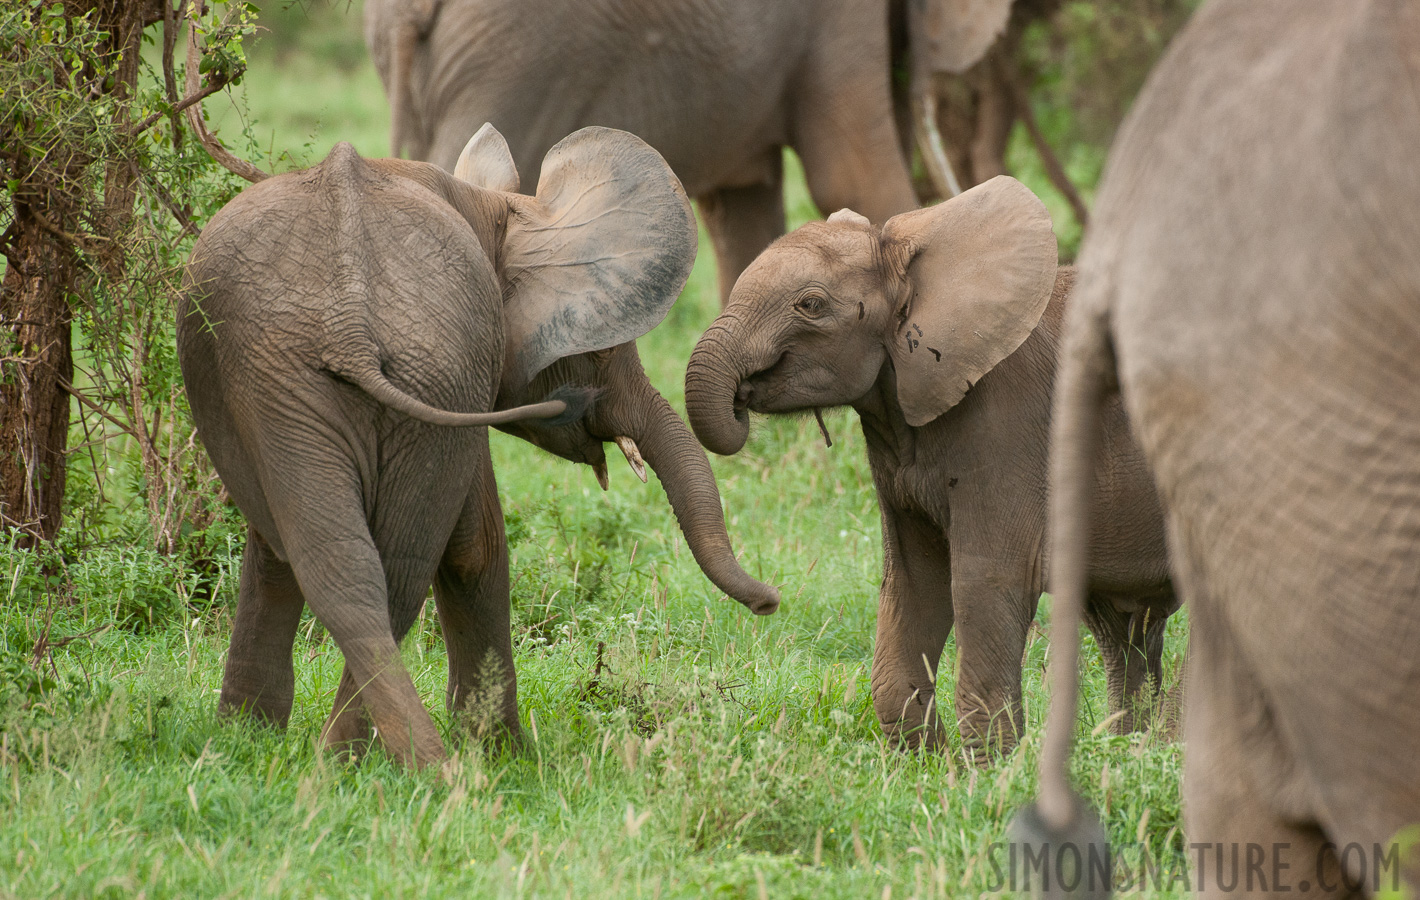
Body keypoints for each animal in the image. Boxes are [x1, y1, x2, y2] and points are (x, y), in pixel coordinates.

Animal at [178, 124, 783, 772]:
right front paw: (508, 758)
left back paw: (325, 759)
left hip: (298, 371)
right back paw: (401, 765)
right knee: (397, 568)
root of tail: (348, 322)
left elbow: (274, 549)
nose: (771, 603)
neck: (491, 207)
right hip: (406, 370)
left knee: (343, 564)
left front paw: (243, 744)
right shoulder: (467, 379)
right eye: (599, 350)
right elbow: (477, 545)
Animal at [684, 173, 1175, 749]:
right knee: (1126, 629)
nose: (770, 601)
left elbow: (985, 583)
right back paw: (1131, 750)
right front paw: (928, 759)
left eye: (810, 305)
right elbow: (914, 582)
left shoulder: (1010, 428)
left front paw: (989, 768)